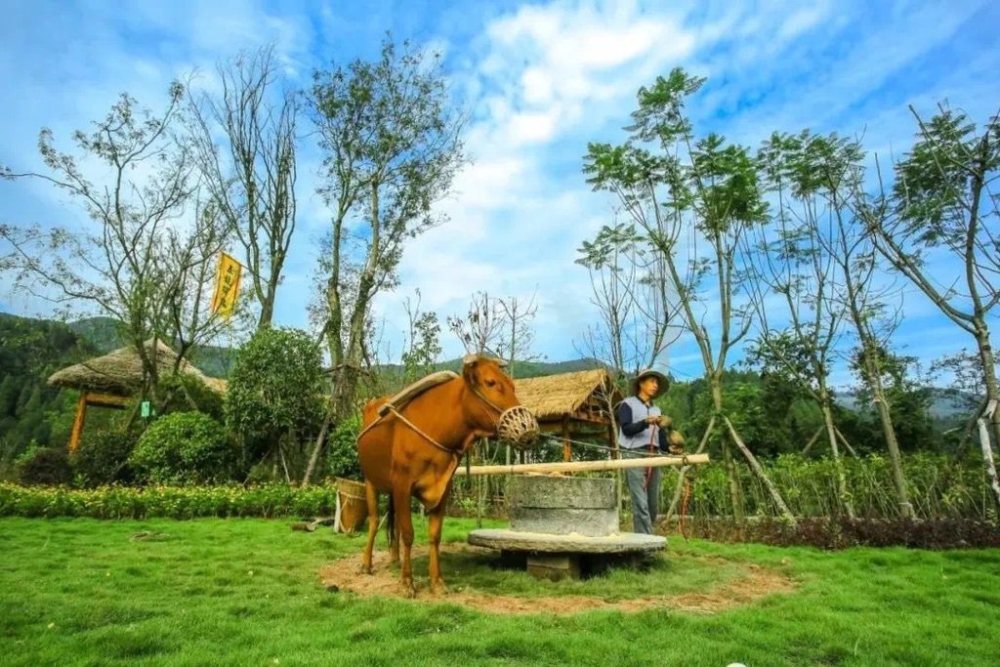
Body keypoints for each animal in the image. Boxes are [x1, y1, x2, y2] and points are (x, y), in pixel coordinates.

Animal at [356, 358, 536, 596]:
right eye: (491, 382)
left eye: (512, 385)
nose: (529, 429)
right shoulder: (403, 484)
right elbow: (409, 533)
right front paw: (407, 583)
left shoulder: (443, 487)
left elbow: (434, 535)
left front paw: (437, 581)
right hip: (370, 480)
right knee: (375, 520)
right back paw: (366, 564)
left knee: (393, 522)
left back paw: (395, 559)